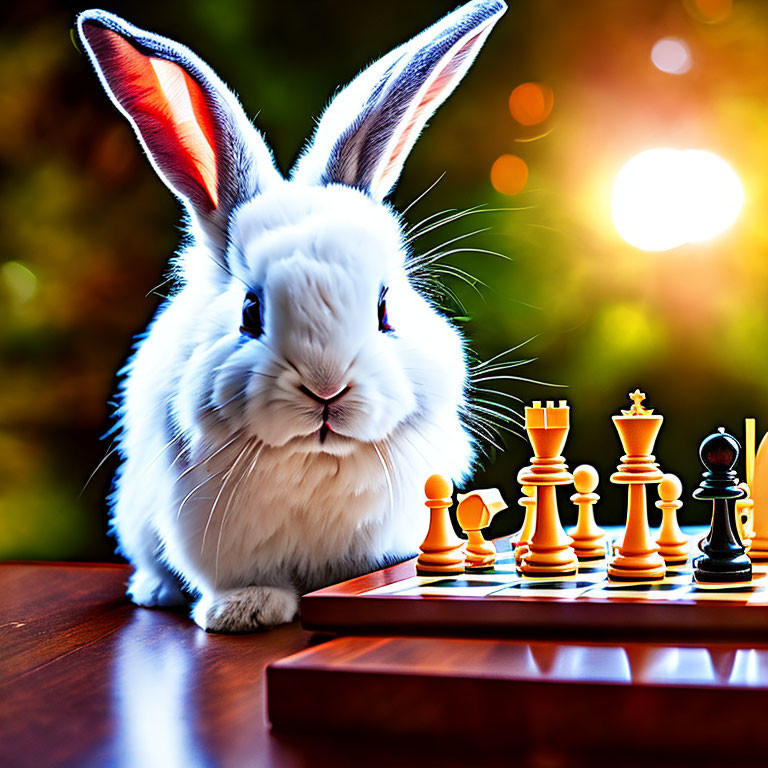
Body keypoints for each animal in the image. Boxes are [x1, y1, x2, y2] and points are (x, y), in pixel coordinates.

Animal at [78, 0, 508, 632]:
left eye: (384, 307)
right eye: (250, 311)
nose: (326, 388)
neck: (316, 457)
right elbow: (241, 580)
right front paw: (242, 612)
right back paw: (156, 592)